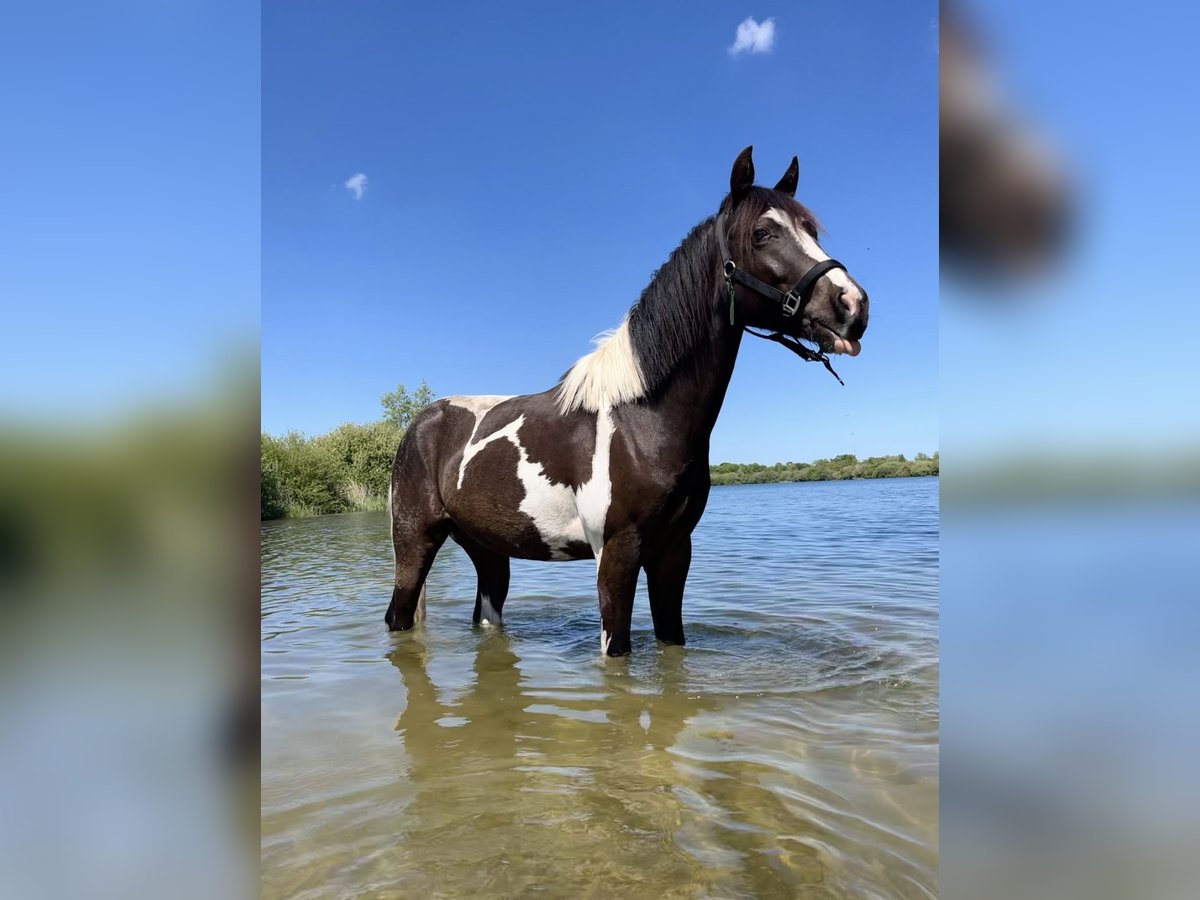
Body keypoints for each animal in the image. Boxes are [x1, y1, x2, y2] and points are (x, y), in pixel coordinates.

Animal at [386, 146, 870, 657]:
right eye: (763, 233)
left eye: (811, 230)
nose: (853, 305)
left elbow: (671, 643)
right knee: (398, 614)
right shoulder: (616, 553)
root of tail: (421, 421)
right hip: (415, 542)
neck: (643, 420)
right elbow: (617, 650)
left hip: (489, 551)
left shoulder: (674, 551)